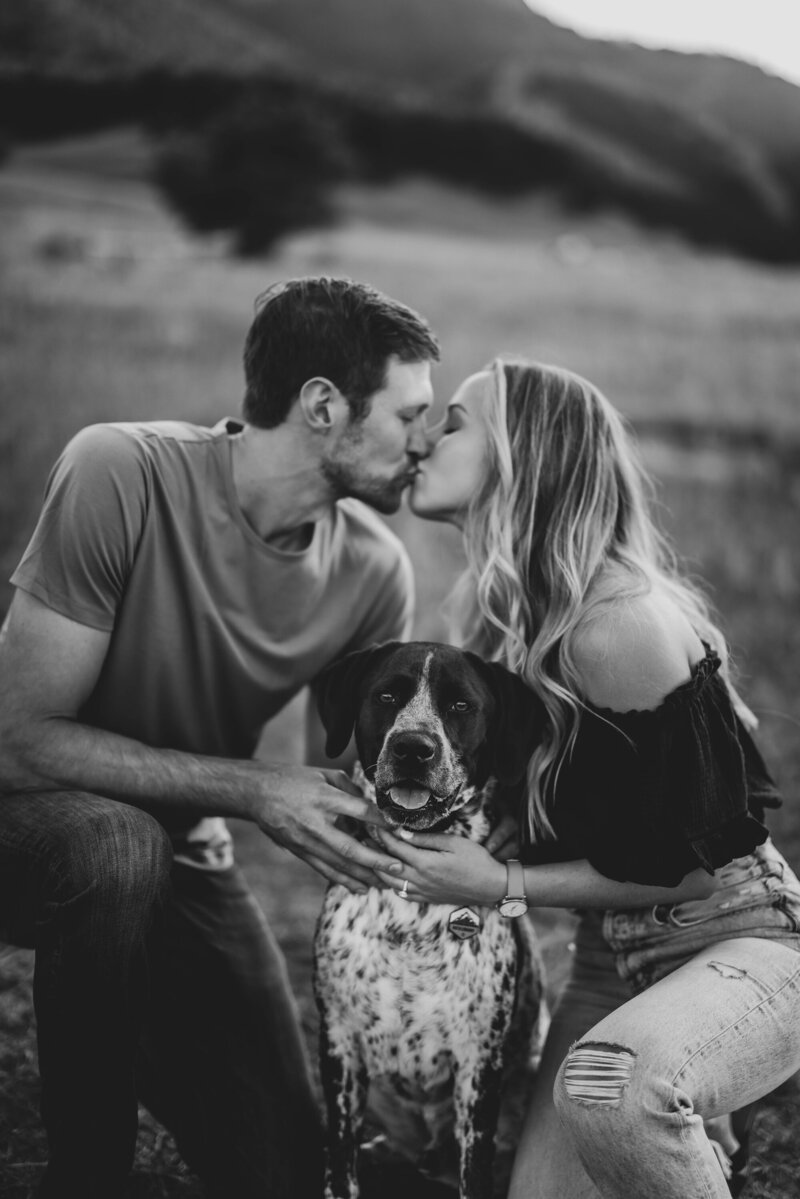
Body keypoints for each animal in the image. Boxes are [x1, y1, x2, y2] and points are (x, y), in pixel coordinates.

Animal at [309, 642, 546, 1199]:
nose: (413, 749)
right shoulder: (339, 1046)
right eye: (387, 696)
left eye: (461, 705)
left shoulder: (479, 1065)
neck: (410, 913)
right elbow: (339, 1162)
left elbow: (474, 1171)